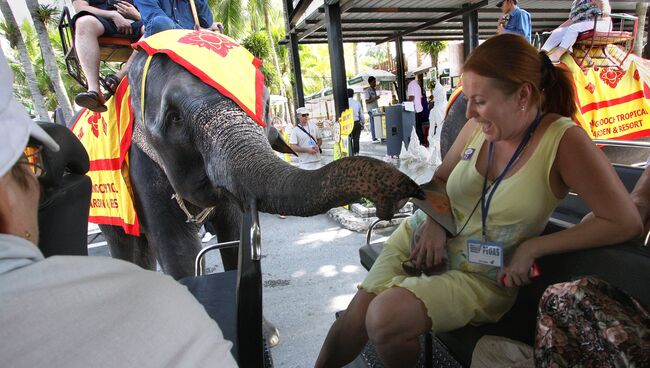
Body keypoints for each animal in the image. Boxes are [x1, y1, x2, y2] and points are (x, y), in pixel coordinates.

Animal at [95, 49, 420, 278]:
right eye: (174, 118)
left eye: (262, 107)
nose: (401, 199)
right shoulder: (143, 169)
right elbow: (178, 249)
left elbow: (233, 234)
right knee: (126, 245)